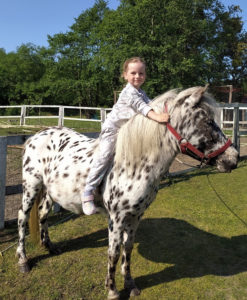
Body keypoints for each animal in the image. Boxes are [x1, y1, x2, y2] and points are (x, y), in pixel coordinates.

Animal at [16, 85, 237, 298]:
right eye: (208, 121)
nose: (233, 159)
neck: (134, 166)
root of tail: (36, 136)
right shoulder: (116, 218)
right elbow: (113, 252)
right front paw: (112, 289)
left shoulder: (136, 216)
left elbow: (127, 248)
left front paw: (130, 284)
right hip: (31, 186)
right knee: (22, 217)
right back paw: (23, 261)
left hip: (49, 192)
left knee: (43, 214)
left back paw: (50, 246)